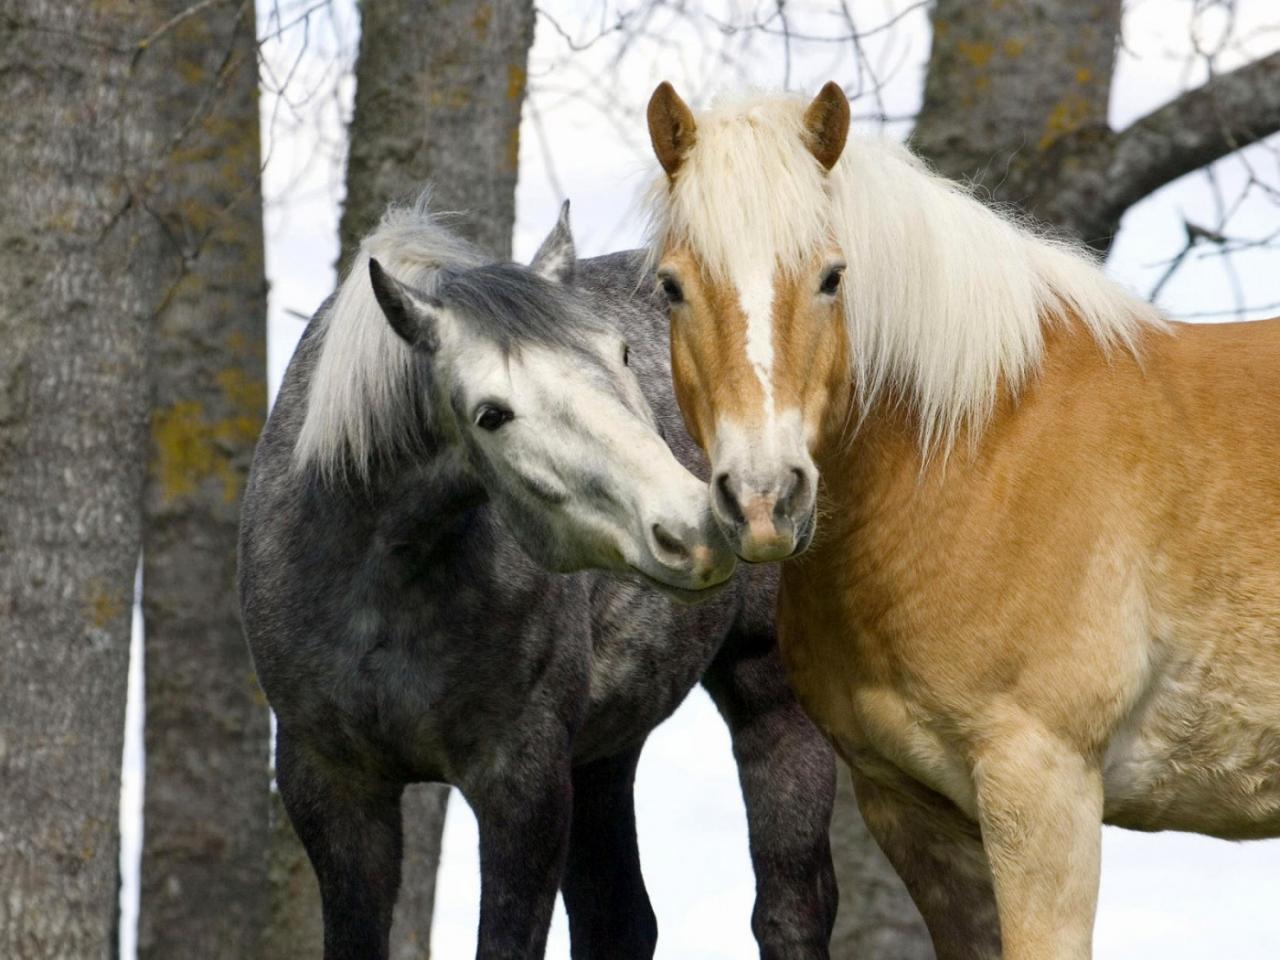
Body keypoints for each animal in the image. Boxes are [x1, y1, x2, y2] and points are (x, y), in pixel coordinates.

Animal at [240, 199, 839, 957]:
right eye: (491, 414)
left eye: (620, 355)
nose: (696, 528)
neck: (382, 582)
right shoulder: (333, 788)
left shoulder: (522, 783)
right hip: (606, 748)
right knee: (619, 918)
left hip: (771, 699)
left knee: (790, 910)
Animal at [645, 84, 1280, 960]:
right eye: (672, 287)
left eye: (832, 277)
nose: (765, 498)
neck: (979, 448)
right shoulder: (914, 813)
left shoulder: (1042, 789)